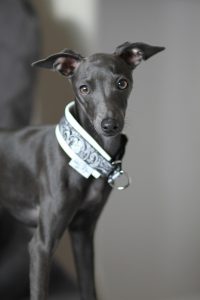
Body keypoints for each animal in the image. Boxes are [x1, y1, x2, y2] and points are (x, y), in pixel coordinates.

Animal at [0, 41, 163, 298]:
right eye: (84, 88)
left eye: (122, 83)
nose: (109, 125)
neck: (85, 158)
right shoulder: (41, 246)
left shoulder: (83, 233)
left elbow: (88, 288)